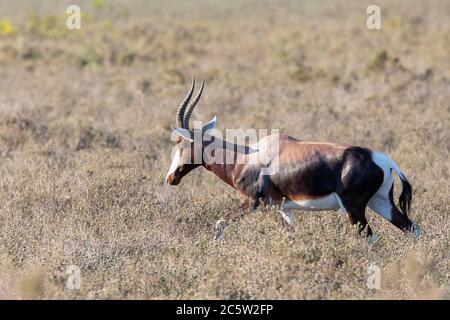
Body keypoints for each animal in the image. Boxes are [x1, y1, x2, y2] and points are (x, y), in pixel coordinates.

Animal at [166, 79, 422, 241]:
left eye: (180, 143)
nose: (170, 178)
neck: (248, 157)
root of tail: (383, 160)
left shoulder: (254, 203)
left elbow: (220, 224)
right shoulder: (283, 209)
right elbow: (291, 236)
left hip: (354, 207)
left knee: (369, 237)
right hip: (380, 202)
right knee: (413, 228)